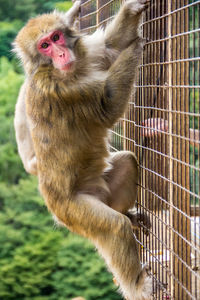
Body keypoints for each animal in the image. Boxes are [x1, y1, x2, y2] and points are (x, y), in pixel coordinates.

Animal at [13, 1, 152, 298]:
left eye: (56, 37)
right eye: (44, 46)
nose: (61, 53)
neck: (62, 71)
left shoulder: (87, 56)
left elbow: (111, 46)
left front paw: (132, 10)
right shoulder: (62, 92)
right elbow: (107, 104)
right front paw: (136, 46)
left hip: (100, 193)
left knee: (127, 161)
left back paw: (127, 214)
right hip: (75, 211)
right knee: (113, 228)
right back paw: (137, 284)